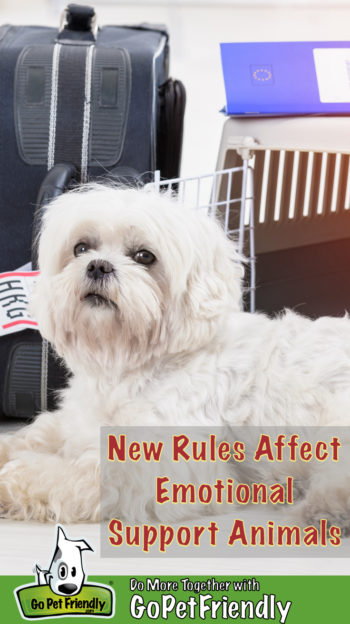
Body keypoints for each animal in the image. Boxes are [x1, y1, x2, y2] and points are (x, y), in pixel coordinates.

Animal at [0, 185, 348, 528]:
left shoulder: (154, 465)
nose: (97, 265)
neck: (131, 364)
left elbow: (68, 472)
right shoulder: (80, 421)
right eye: (81, 248)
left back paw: (326, 506)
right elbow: (39, 431)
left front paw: (12, 480)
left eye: (144, 256)